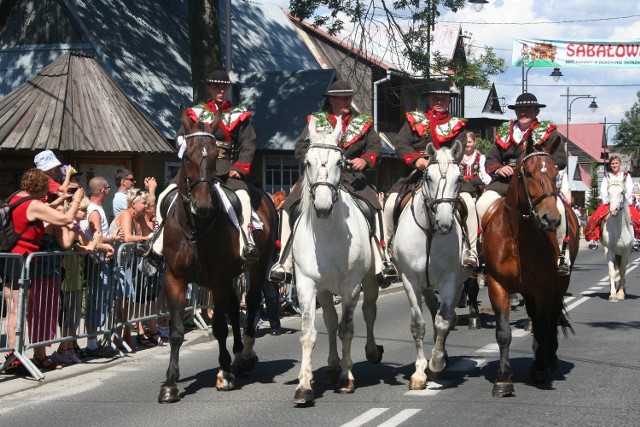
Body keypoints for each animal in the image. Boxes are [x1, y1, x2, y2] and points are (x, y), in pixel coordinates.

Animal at [159, 108, 276, 402]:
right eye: (186, 155)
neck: (195, 227)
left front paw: (224, 373)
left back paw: (244, 357)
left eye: (213, 155)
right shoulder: (174, 279)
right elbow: (176, 331)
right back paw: (237, 356)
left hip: (257, 267)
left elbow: (220, 327)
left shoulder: (218, 280)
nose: (202, 205)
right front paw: (170, 382)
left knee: (251, 305)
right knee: (236, 308)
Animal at [292, 115, 382, 406]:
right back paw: (331, 367)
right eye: (307, 162)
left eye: (340, 163)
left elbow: (348, 329)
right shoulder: (306, 285)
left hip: (370, 281)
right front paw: (304, 387)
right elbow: (310, 334)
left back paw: (371, 352)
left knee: (369, 311)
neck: (327, 234)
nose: (322, 207)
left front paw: (346, 378)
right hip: (323, 290)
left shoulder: (351, 287)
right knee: (330, 322)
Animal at [392, 141, 472, 392]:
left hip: (458, 284)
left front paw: (436, 363)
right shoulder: (409, 280)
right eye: (429, 177)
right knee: (433, 308)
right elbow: (418, 324)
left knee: (448, 315)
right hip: (426, 286)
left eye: (459, 177)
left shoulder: (449, 281)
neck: (429, 231)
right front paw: (419, 373)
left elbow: (444, 320)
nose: (445, 223)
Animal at [480, 137, 580, 398]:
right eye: (528, 172)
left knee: (551, 319)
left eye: (555, 172)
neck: (516, 236)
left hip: (558, 283)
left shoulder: (544, 286)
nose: (550, 219)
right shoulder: (498, 285)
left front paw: (542, 368)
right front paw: (503, 380)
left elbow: (544, 326)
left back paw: (549, 358)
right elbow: (503, 332)